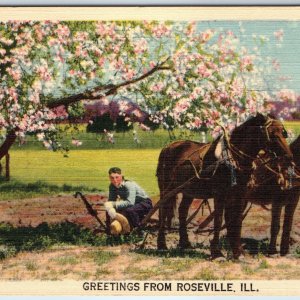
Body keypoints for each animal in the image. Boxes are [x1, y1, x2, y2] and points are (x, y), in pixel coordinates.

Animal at [156, 113, 292, 258]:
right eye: (271, 133)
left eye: (283, 132)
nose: (289, 157)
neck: (234, 159)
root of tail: (168, 146)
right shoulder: (220, 194)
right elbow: (219, 220)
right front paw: (217, 252)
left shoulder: (240, 196)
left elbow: (236, 221)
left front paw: (238, 251)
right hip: (166, 188)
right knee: (162, 211)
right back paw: (162, 244)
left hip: (189, 190)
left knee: (182, 211)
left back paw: (184, 243)